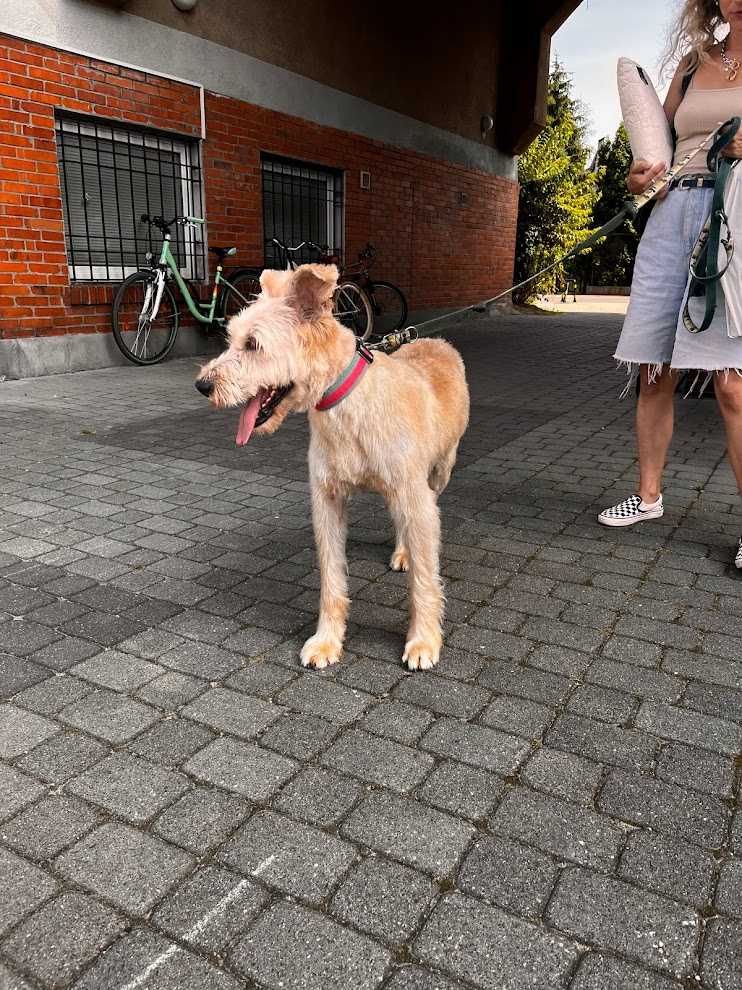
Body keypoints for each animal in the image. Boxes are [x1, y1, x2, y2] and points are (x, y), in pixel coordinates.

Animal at [195, 264, 468, 672]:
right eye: (231, 340)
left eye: (253, 345)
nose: (202, 385)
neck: (345, 404)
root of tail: (437, 340)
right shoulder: (327, 501)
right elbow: (331, 578)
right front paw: (327, 641)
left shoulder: (412, 494)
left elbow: (424, 579)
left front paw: (423, 641)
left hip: (436, 475)